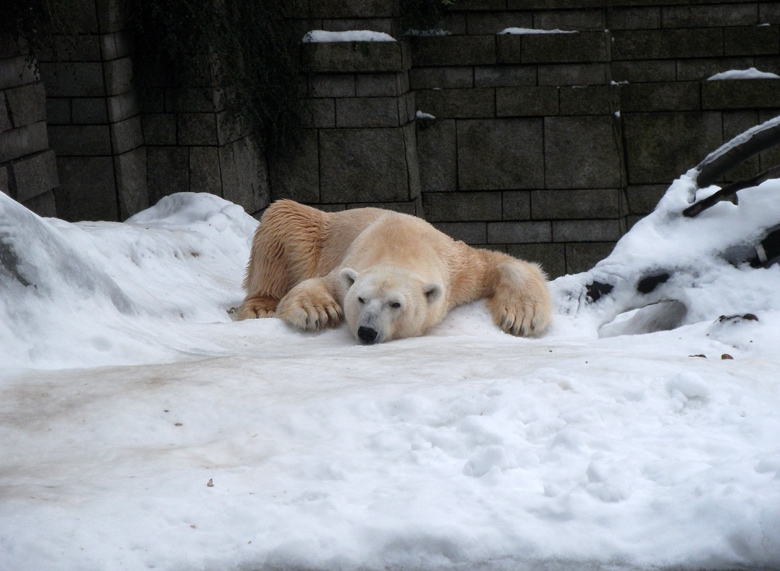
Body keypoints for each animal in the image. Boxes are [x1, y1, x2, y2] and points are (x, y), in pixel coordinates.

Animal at [238, 201, 548, 344]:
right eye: (361, 299)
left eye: (395, 304)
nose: (366, 332)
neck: (399, 246)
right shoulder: (347, 263)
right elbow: (318, 285)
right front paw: (320, 311)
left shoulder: (457, 266)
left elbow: (498, 262)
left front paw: (521, 318)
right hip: (318, 232)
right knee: (284, 216)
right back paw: (260, 306)